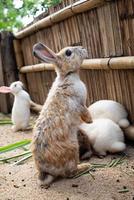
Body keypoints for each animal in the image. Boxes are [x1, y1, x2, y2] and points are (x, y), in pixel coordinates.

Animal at [31, 43, 92, 188]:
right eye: (68, 52)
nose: (83, 48)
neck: (68, 75)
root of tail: (46, 171)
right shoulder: (80, 103)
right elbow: (84, 111)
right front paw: (90, 121)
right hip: (73, 149)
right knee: (70, 173)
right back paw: (86, 166)